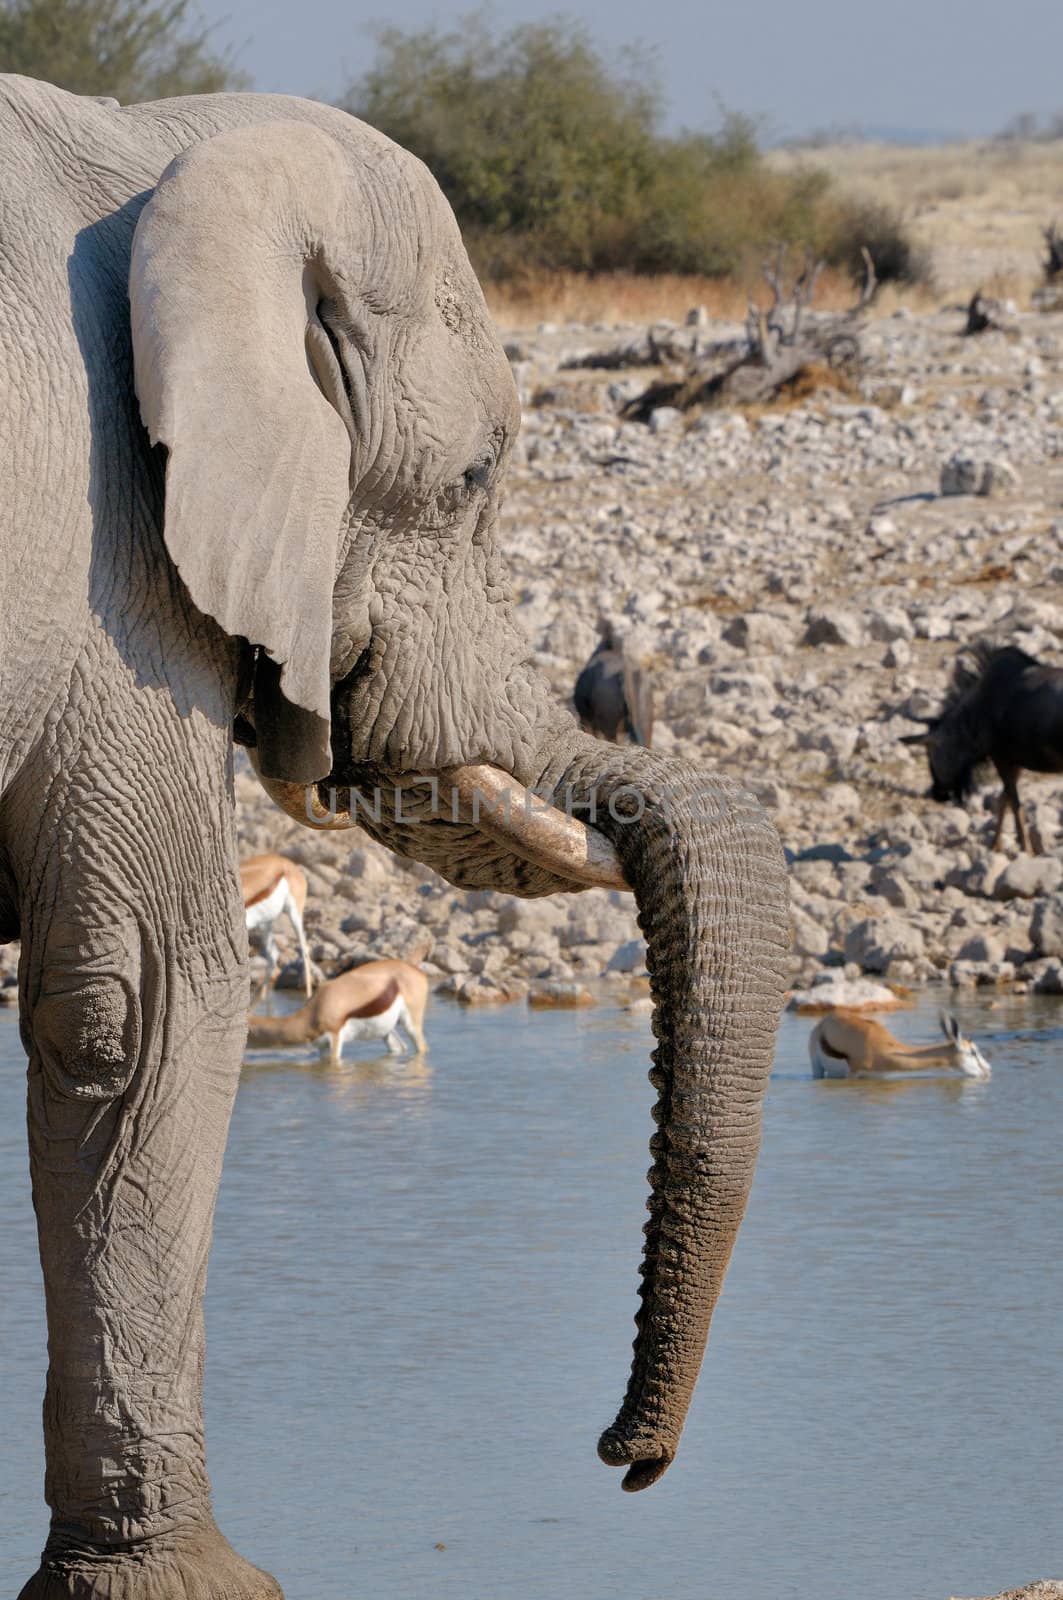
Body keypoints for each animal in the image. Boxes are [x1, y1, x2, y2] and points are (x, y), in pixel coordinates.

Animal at [0, 75, 787, 1600]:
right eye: (474, 476)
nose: (623, 1461)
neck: (160, 149)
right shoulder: (107, 573)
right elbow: (141, 999)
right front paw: (195, 1590)